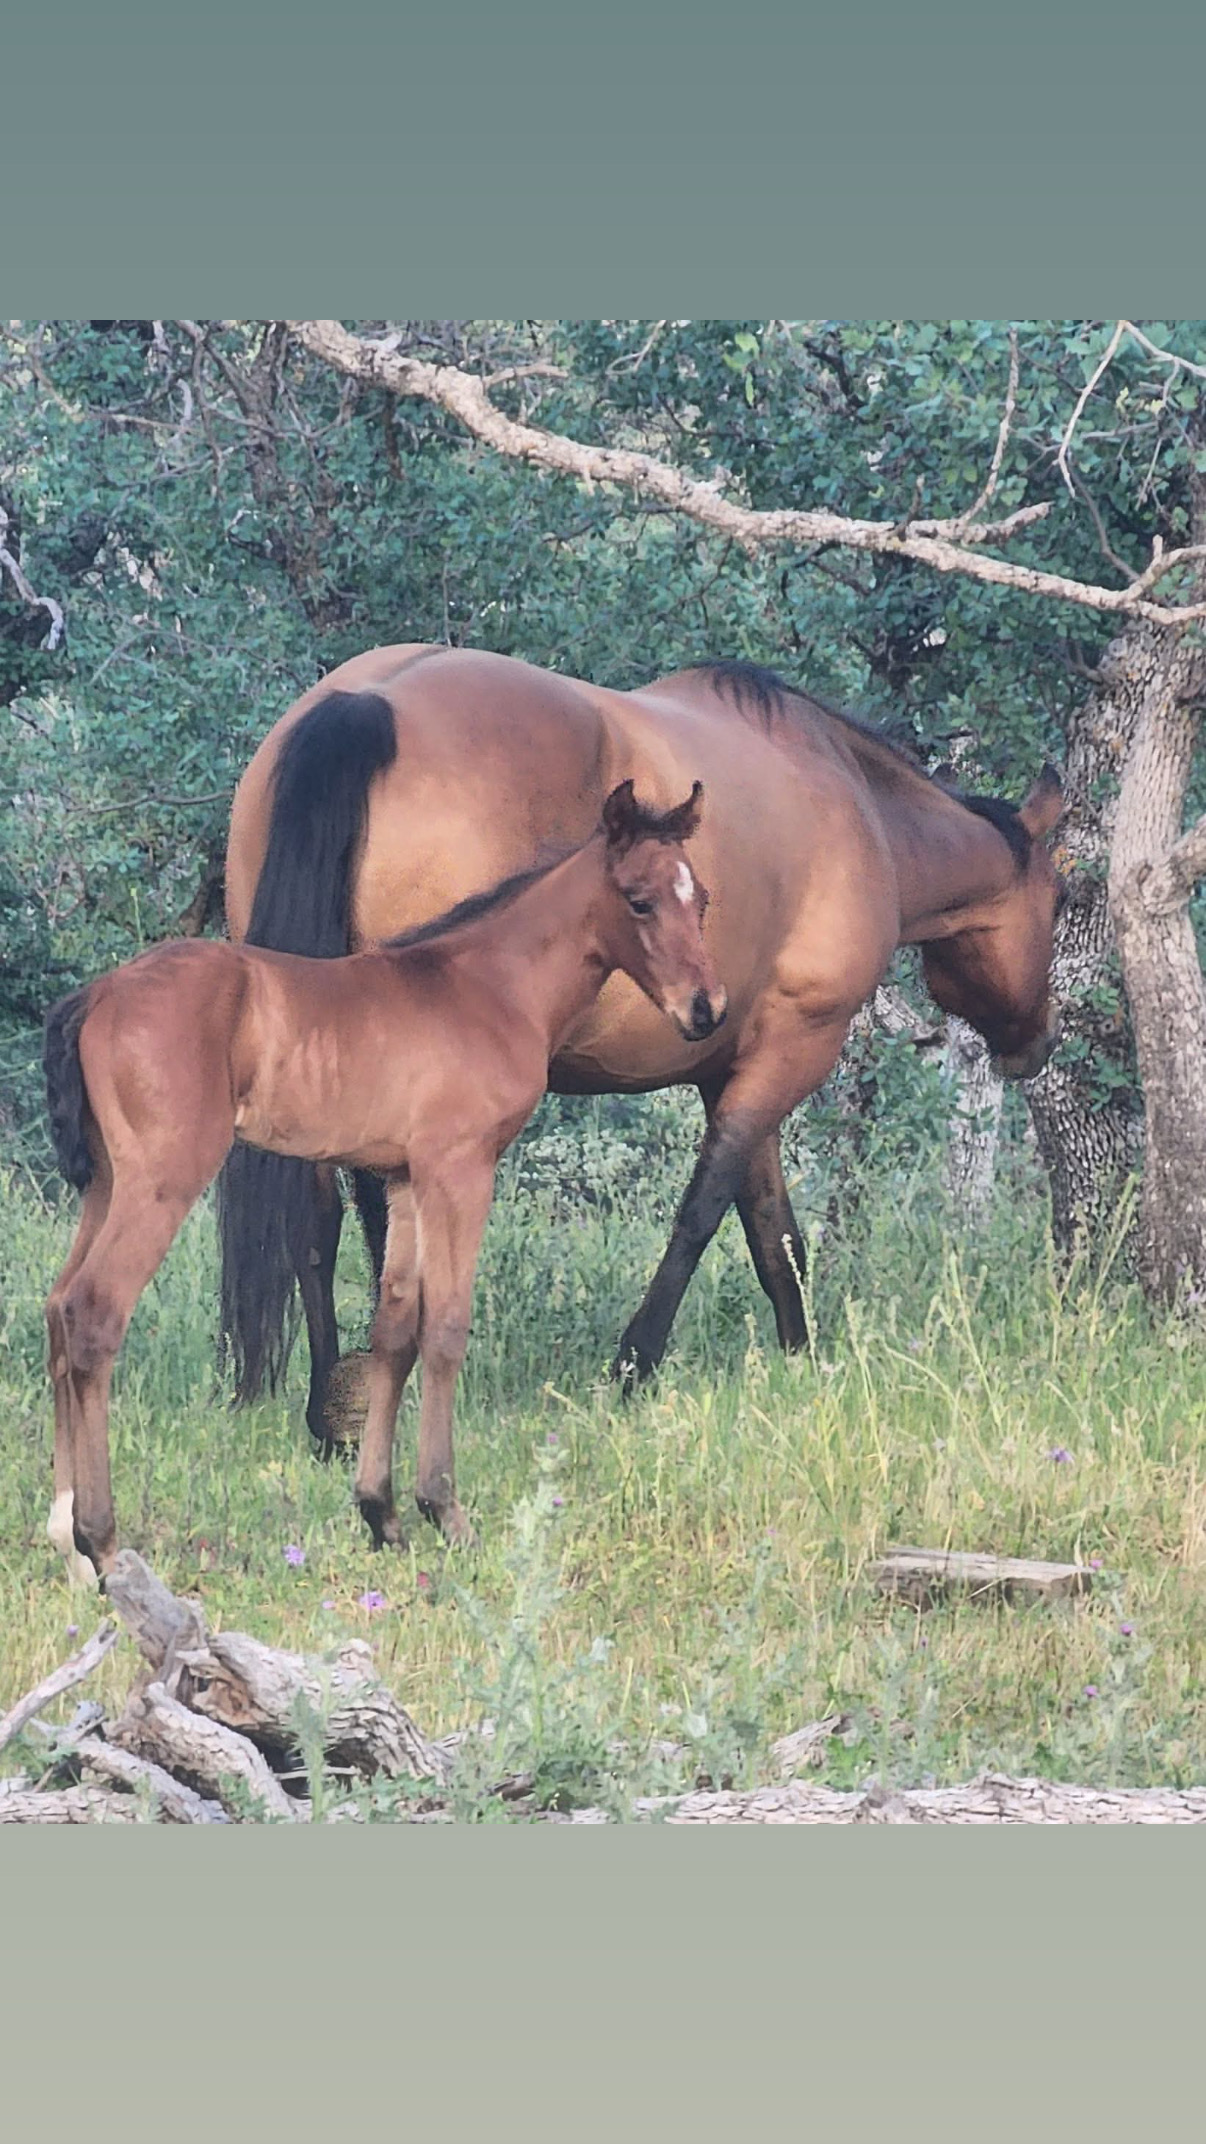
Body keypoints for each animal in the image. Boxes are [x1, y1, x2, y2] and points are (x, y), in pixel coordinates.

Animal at [42, 780, 724, 1582]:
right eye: (638, 900)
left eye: (701, 897)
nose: (706, 1009)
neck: (489, 986)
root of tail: (95, 997)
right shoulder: (459, 1171)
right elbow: (447, 1328)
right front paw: (447, 1513)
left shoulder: (402, 1181)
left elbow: (393, 1332)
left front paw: (382, 1514)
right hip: (161, 1179)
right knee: (93, 1313)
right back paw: (101, 1539)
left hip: (107, 1183)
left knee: (57, 1310)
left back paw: (66, 1540)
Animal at [222, 647, 1064, 1446]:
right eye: (1064, 903)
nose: (1039, 1041)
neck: (861, 811)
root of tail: (368, 701)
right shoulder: (795, 1048)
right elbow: (704, 1214)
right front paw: (635, 1364)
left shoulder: (732, 1067)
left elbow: (774, 1234)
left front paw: (800, 1359)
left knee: (315, 1219)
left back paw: (330, 1409)